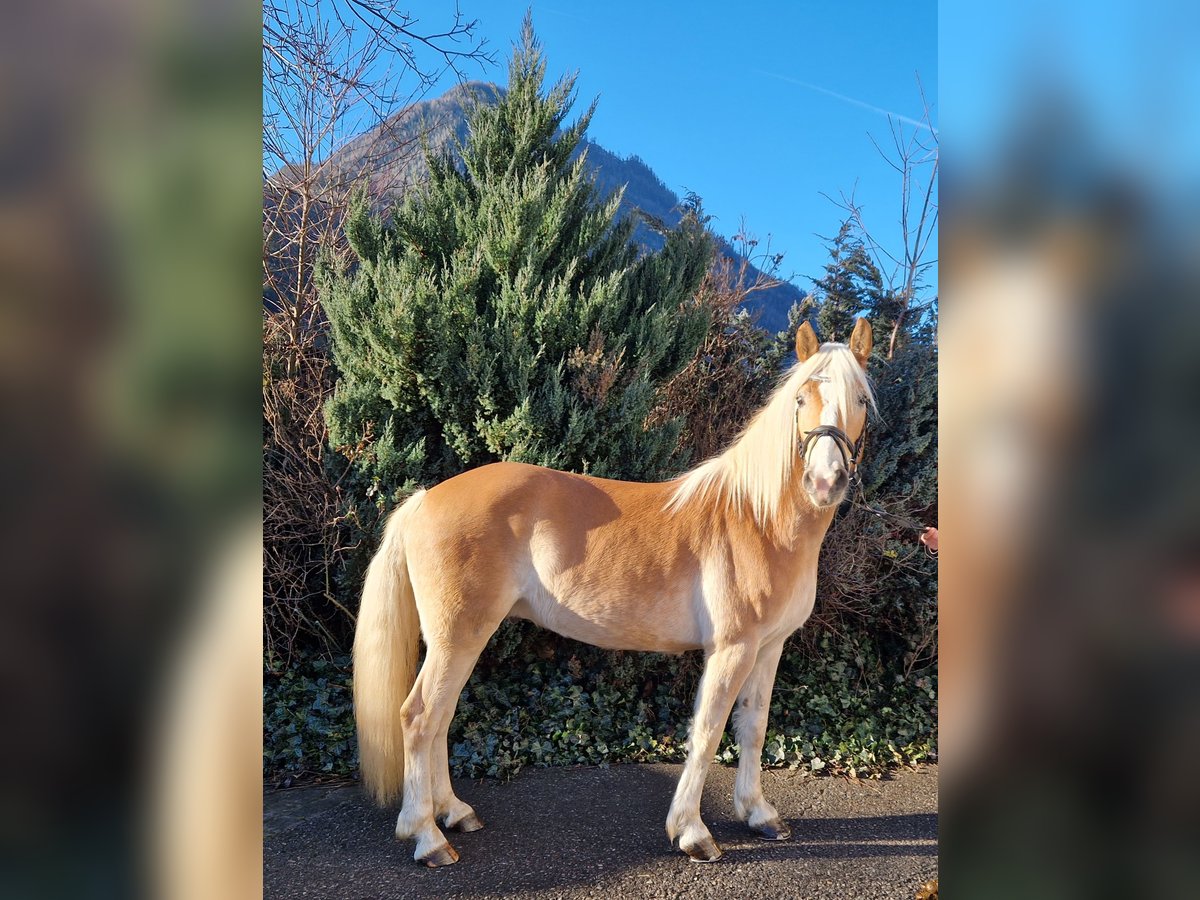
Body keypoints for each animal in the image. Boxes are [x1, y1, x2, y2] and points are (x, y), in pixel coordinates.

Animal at [350, 316, 878, 868]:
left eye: (861, 399)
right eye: (801, 398)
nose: (825, 481)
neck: (757, 518)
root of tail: (424, 498)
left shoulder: (769, 647)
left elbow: (752, 727)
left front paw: (758, 814)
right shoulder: (732, 648)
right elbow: (707, 732)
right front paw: (692, 832)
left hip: (458, 640)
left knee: (440, 720)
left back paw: (453, 812)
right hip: (458, 636)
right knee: (419, 718)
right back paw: (427, 835)